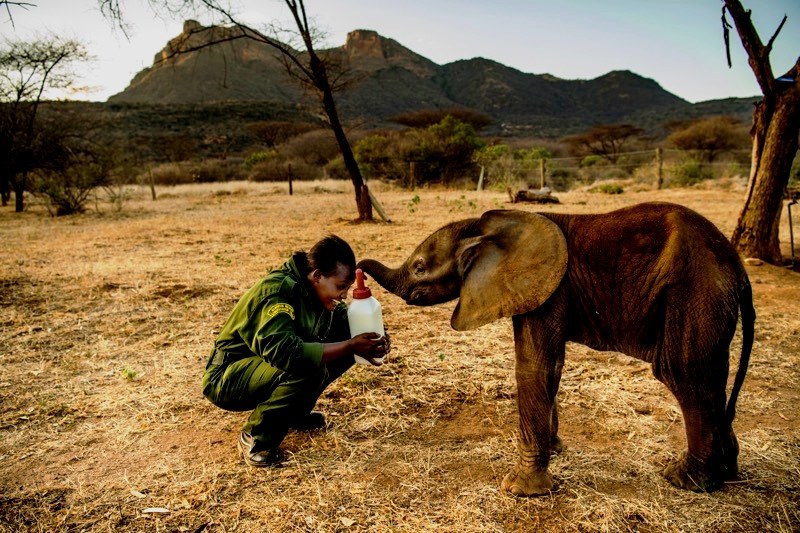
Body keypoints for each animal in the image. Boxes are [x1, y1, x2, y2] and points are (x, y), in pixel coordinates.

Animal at [357, 202, 755, 496]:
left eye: (420, 267)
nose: (356, 268)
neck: (481, 228)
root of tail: (737, 266)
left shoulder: (544, 288)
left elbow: (534, 365)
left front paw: (520, 491)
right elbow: (553, 367)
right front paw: (556, 450)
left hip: (694, 294)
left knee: (684, 373)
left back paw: (686, 481)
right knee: (711, 378)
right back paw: (728, 472)